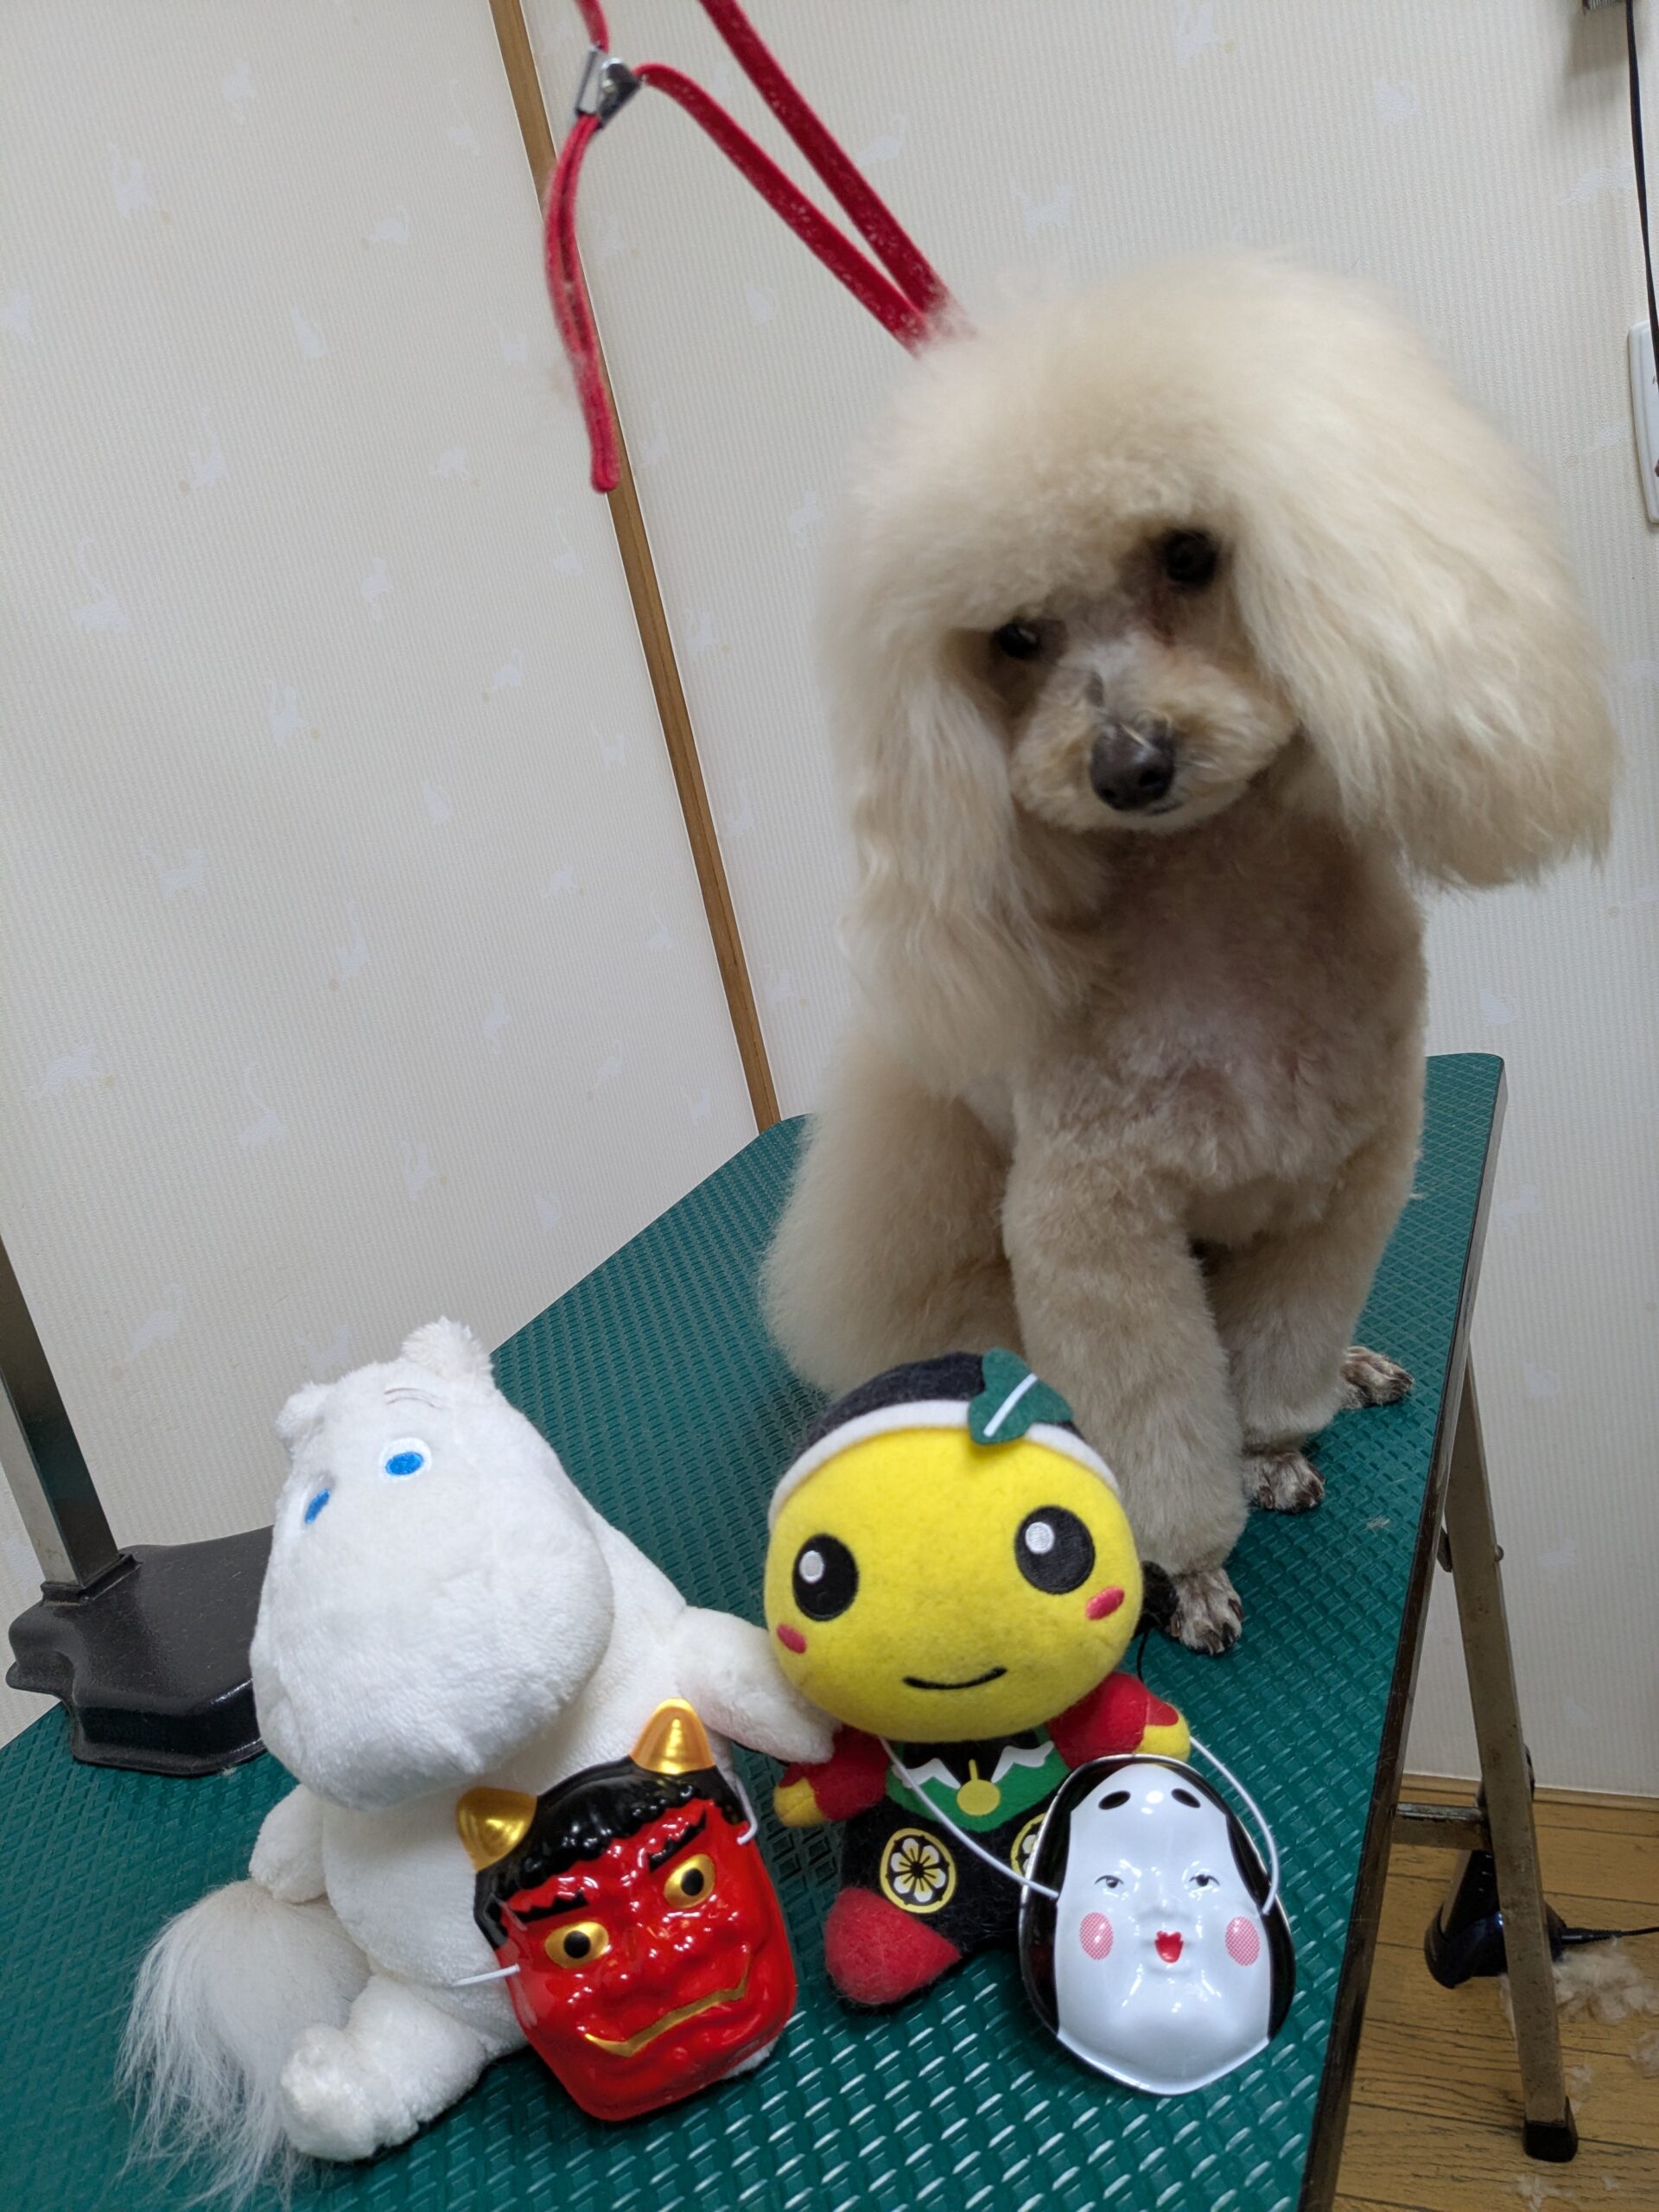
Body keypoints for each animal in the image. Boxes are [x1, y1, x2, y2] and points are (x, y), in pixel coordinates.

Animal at [762, 256, 1615, 1653]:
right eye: (1014, 636)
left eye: (1188, 553)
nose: (1128, 765)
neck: (1220, 917)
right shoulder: (1095, 1226)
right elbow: (1159, 1429)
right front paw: (1194, 1569)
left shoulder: (1349, 1173)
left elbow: (1277, 1360)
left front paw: (1275, 1447)